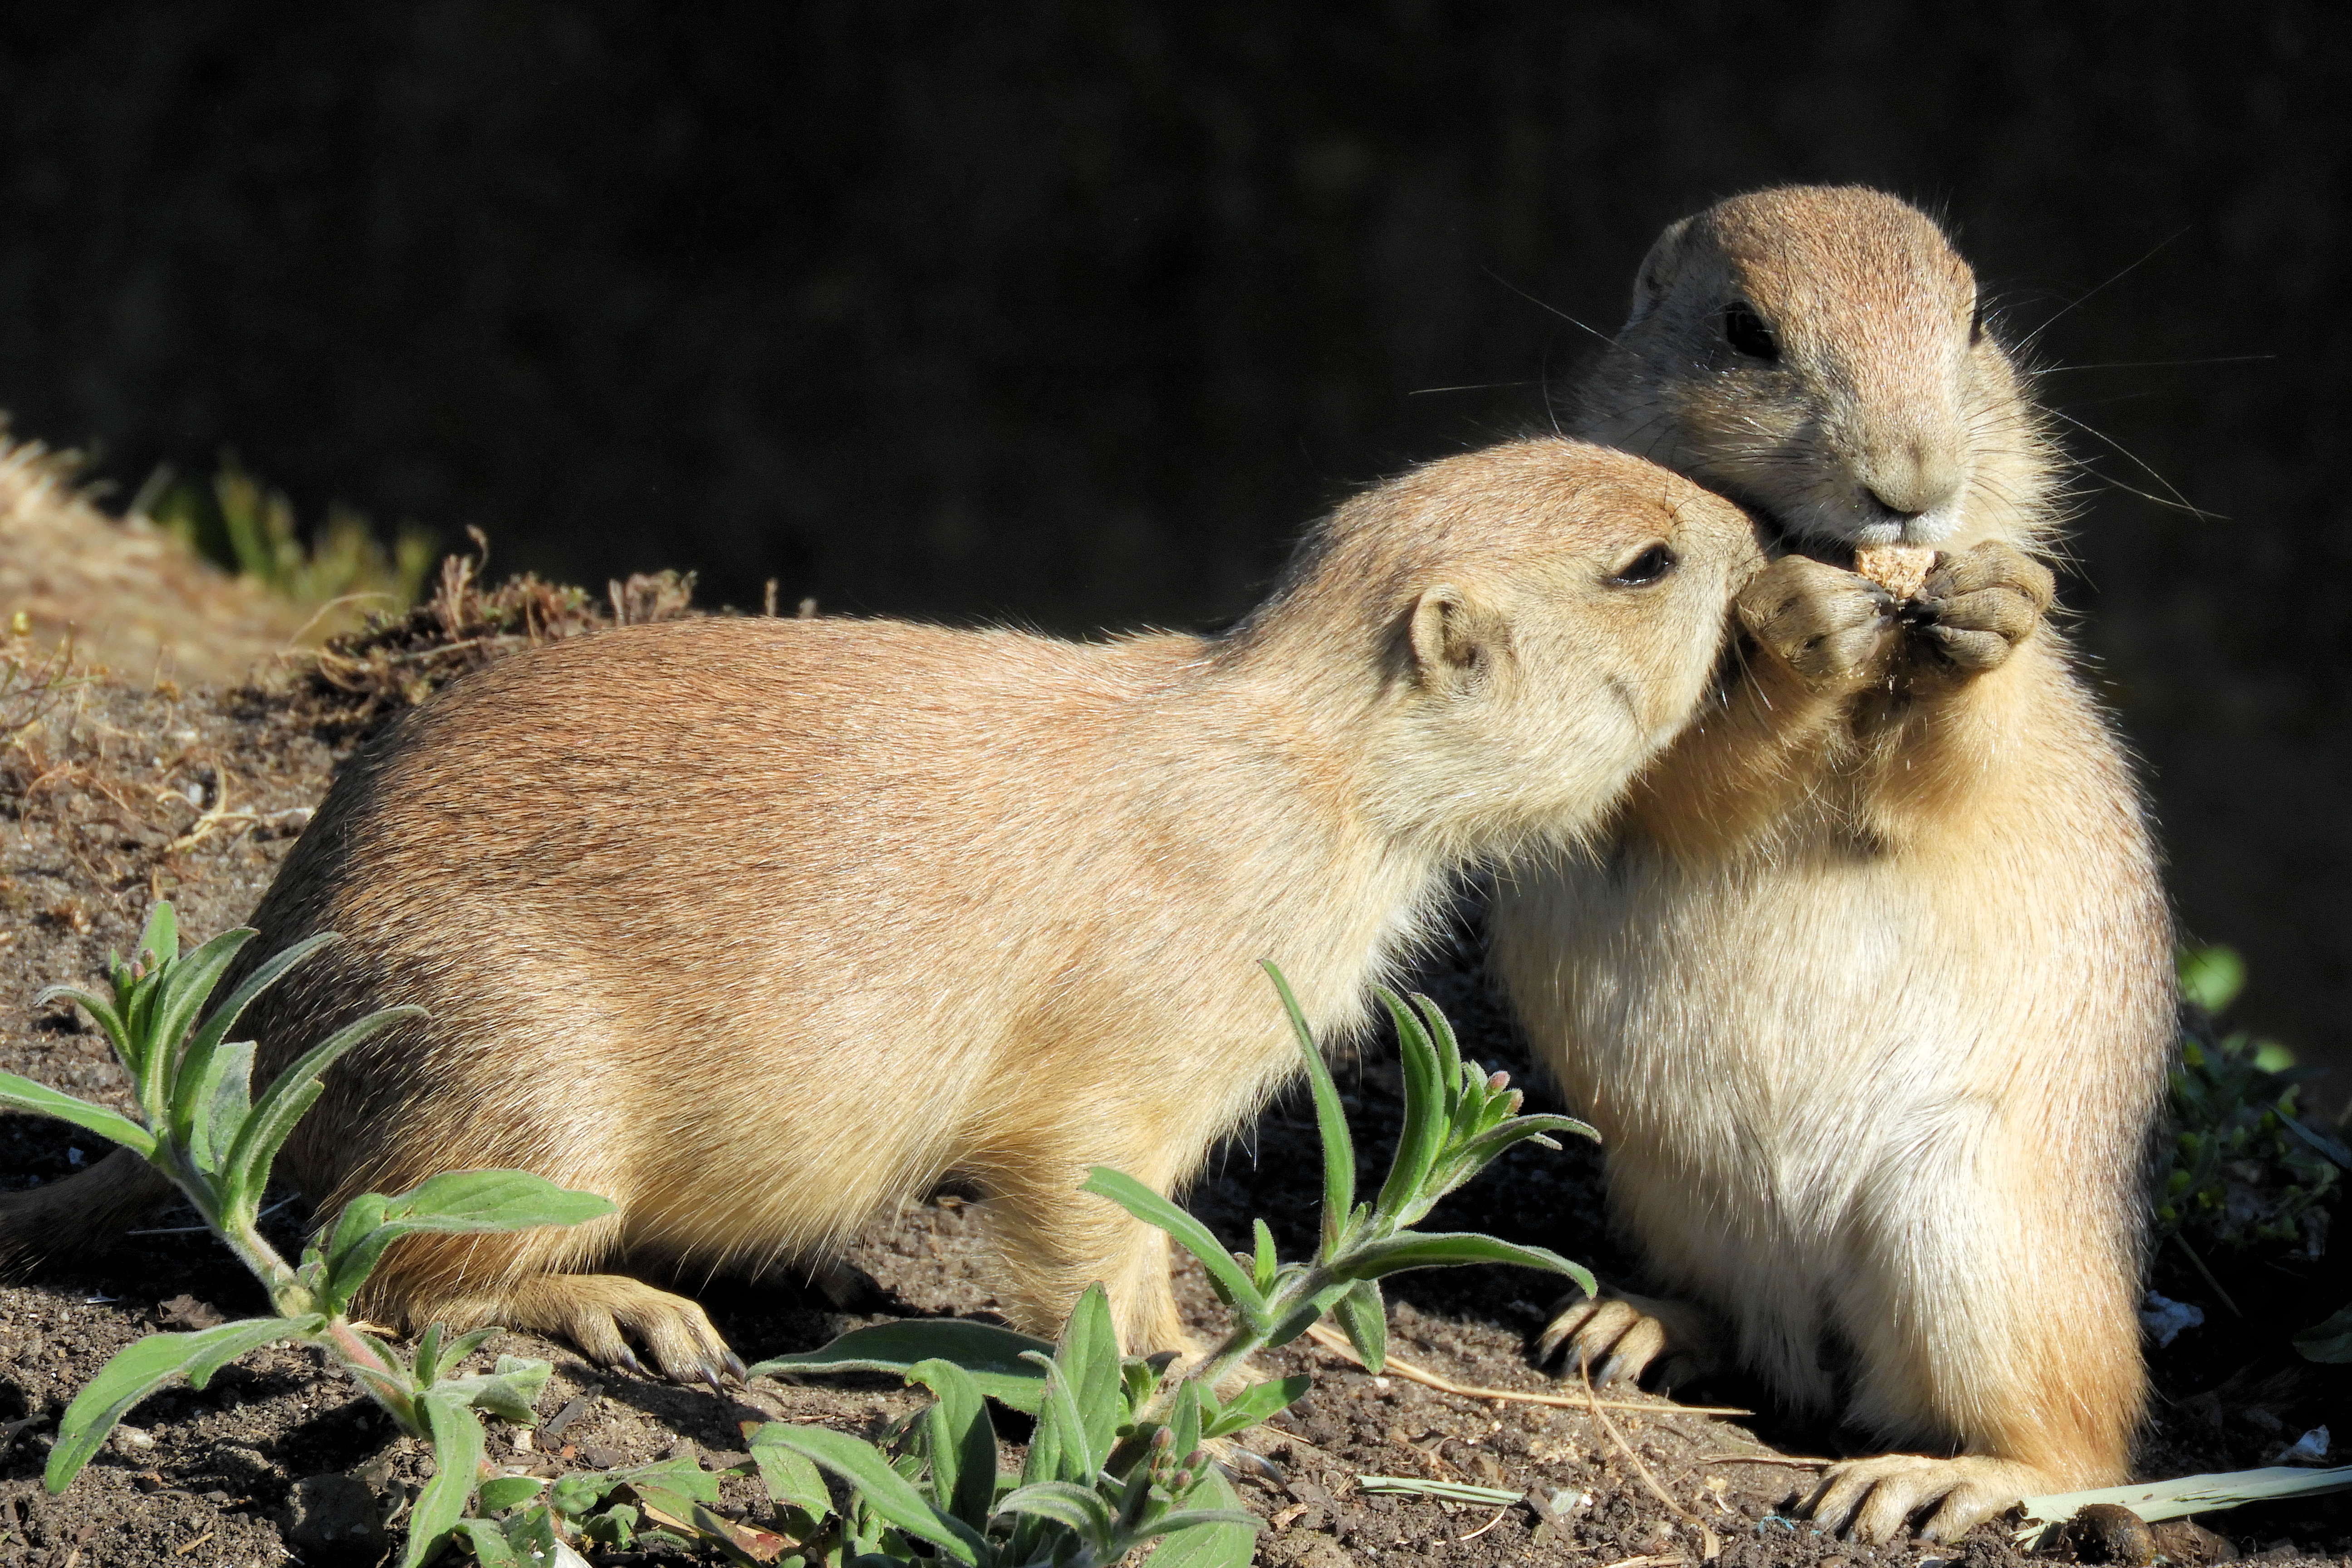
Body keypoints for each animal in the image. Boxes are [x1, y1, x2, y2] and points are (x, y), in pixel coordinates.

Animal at [3, 439, 1763, 1386]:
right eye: (1643, 561)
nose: (1761, 534)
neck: (1315, 765)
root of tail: (251, 980)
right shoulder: (1127, 1053)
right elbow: (1081, 1213)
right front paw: (1157, 1374)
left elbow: (1144, 1235)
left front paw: (1211, 1332)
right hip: (515, 1088)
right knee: (381, 1269)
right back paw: (637, 1312)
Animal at [1488, 187, 2174, 1542]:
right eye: (1745, 331)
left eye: (1977, 318)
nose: (1914, 482)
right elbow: (1681, 779)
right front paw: (1802, 629)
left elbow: (1971, 765)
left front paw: (1990, 610)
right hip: (1673, 1192)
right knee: (1748, 1329)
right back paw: (1628, 1325)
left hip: (1983, 1246)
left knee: (2079, 1446)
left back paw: (1926, 1482)